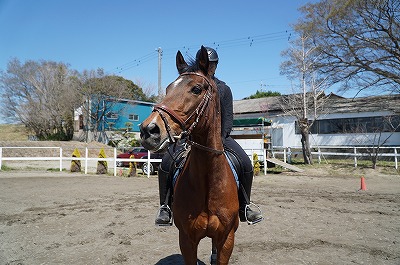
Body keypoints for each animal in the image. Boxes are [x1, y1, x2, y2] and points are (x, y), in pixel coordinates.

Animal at [141, 46, 239, 262]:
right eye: (168, 89)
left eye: (196, 89)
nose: (148, 130)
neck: (209, 183)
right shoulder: (186, 239)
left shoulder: (227, 239)